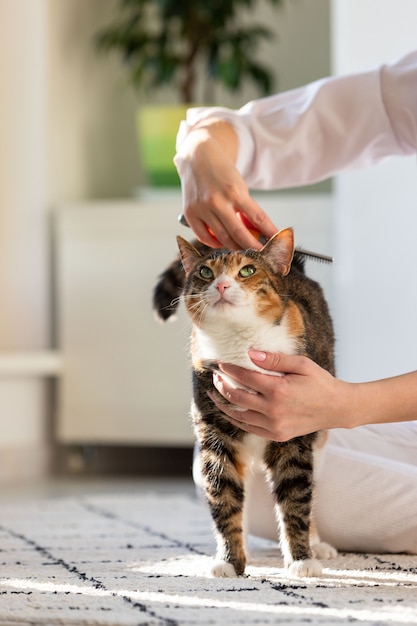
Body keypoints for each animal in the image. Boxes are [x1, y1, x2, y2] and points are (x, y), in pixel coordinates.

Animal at [152, 227, 334, 576]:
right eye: (204, 272)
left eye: (247, 271)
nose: (222, 285)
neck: (241, 347)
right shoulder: (215, 436)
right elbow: (224, 497)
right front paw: (229, 562)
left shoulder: (295, 427)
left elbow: (296, 497)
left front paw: (302, 559)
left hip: (318, 436)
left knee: (312, 484)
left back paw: (318, 545)